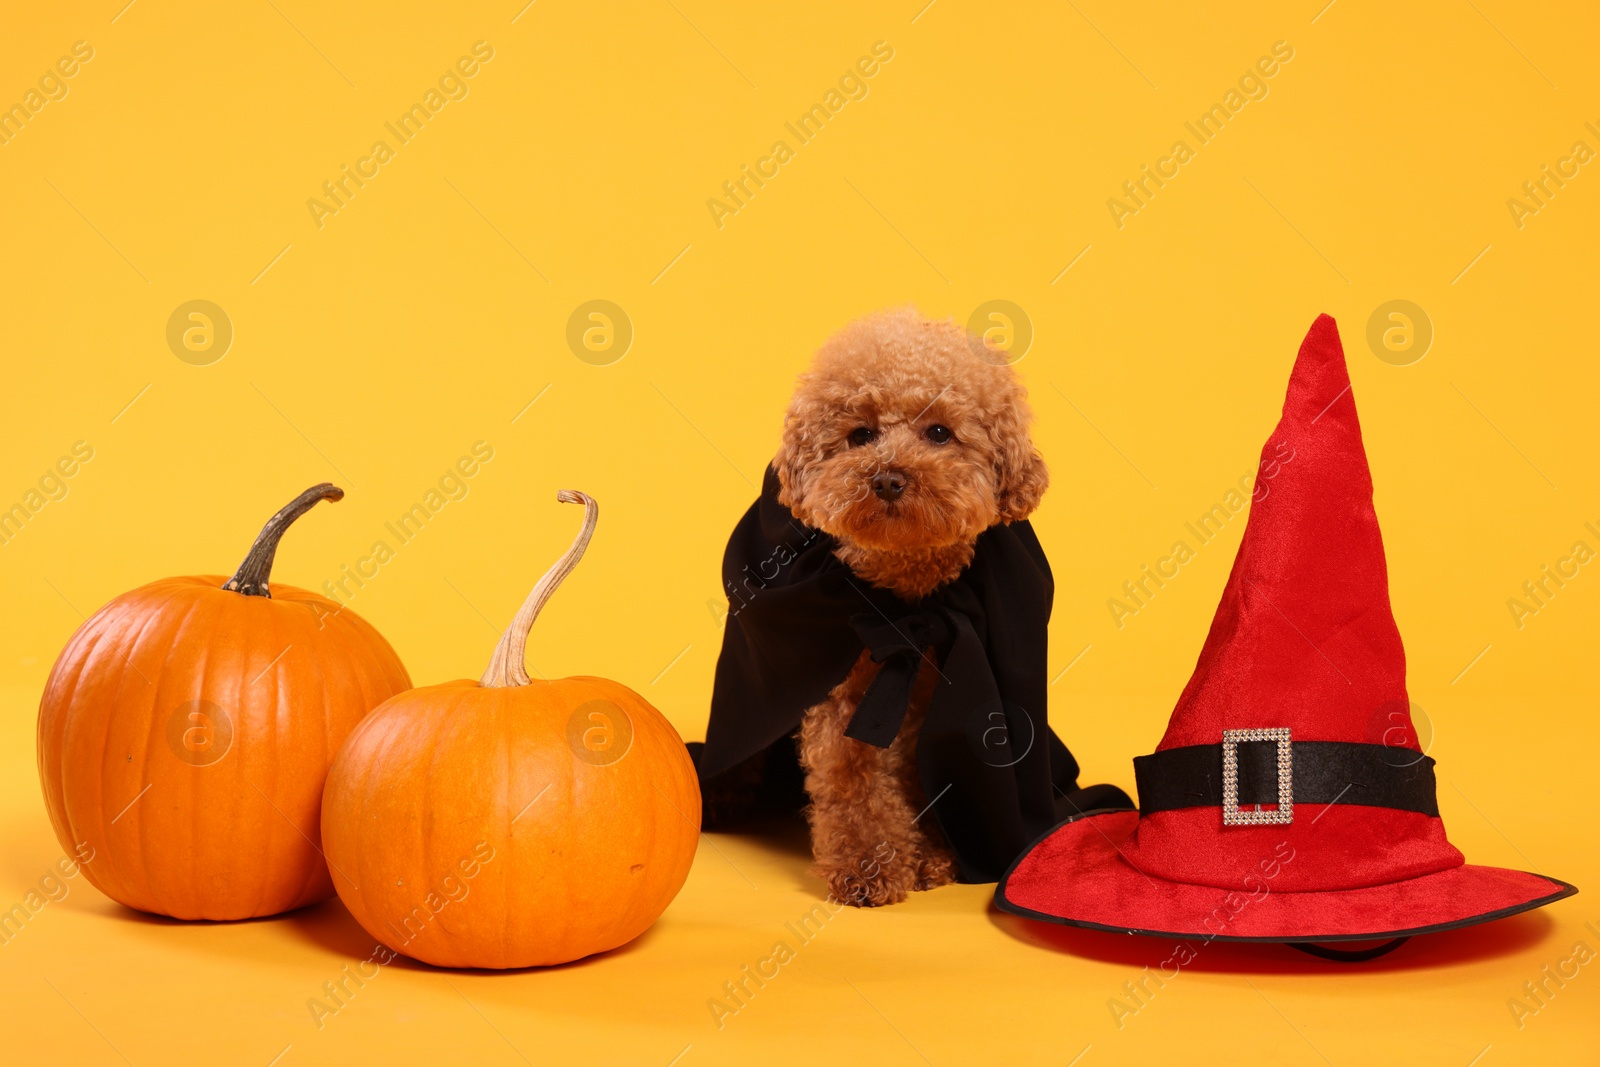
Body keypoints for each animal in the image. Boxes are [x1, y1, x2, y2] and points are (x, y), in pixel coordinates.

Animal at [774, 310, 1049, 908]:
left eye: (940, 432)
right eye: (860, 435)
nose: (888, 477)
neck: (905, 603)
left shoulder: (928, 706)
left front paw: (933, 856)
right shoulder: (846, 702)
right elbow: (853, 781)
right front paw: (868, 867)